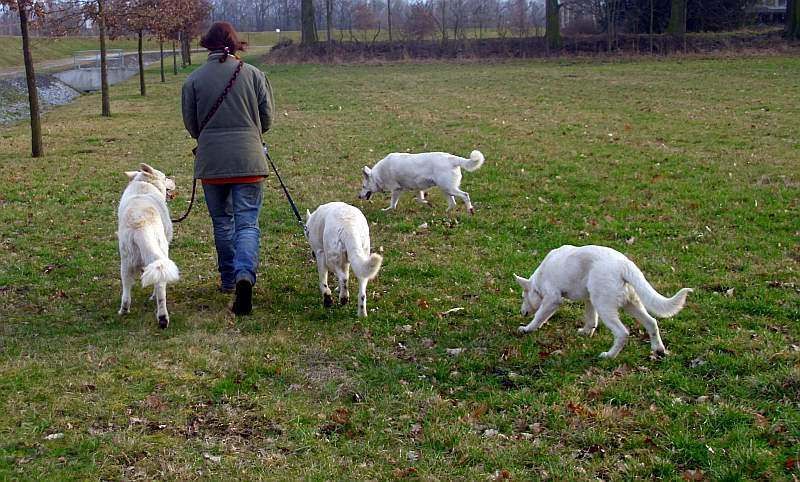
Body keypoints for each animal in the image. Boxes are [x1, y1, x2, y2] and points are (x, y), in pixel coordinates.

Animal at [117, 163, 180, 328]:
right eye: (165, 177)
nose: (173, 179)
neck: (144, 184)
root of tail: (140, 225)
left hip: (125, 262)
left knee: (126, 291)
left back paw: (123, 310)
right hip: (161, 254)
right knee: (160, 287)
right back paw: (163, 317)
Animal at [516, 245, 692, 358]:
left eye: (523, 297)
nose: (521, 312)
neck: (539, 279)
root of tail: (624, 264)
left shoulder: (553, 299)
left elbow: (539, 317)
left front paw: (527, 328)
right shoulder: (589, 299)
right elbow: (591, 319)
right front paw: (586, 333)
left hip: (605, 307)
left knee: (623, 333)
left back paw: (609, 356)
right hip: (630, 304)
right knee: (652, 322)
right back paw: (658, 349)